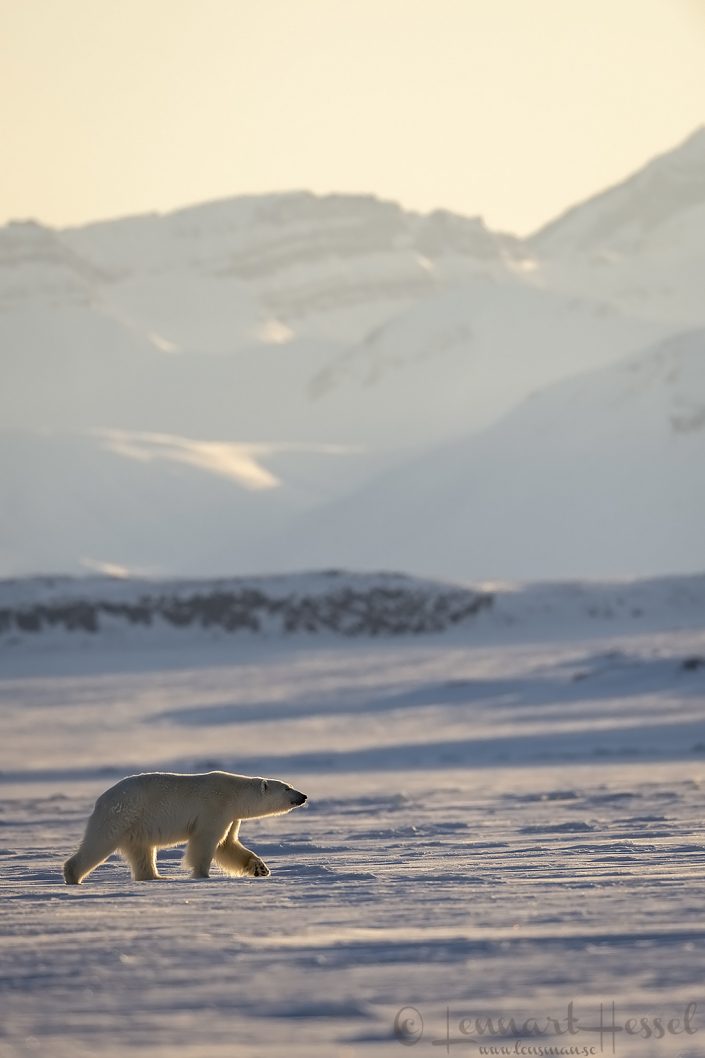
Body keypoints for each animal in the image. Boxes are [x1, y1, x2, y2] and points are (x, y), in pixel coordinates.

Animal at [63, 770, 307, 884]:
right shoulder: (214, 807)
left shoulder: (230, 816)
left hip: (137, 826)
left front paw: (260, 868)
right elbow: (206, 842)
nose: (303, 796)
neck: (234, 792)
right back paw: (72, 876)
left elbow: (228, 845)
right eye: (287, 788)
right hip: (123, 815)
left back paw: (156, 877)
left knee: (141, 852)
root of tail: (101, 799)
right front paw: (202, 875)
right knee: (99, 843)